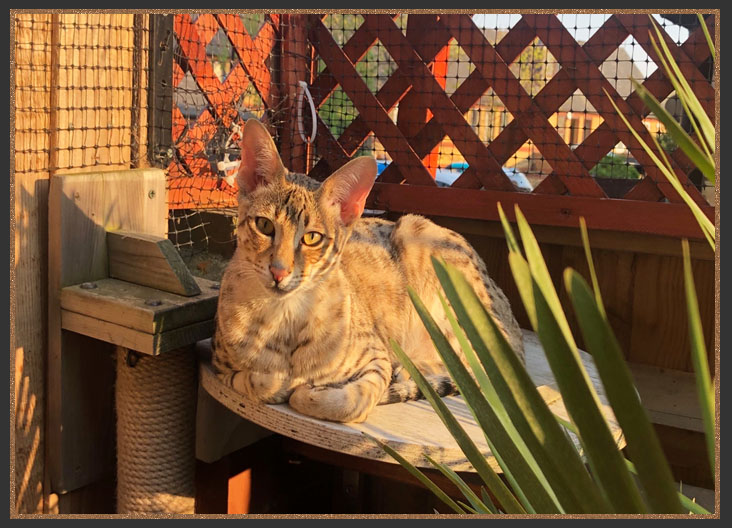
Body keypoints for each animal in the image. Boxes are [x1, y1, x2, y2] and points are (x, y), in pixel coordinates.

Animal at [212, 117, 528, 422]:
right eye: (264, 225)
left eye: (312, 237)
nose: (279, 271)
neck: (285, 317)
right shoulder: (219, 363)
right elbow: (259, 381)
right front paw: (280, 380)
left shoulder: (376, 359)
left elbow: (346, 402)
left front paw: (306, 389)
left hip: (419, 236)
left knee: (473, 368)